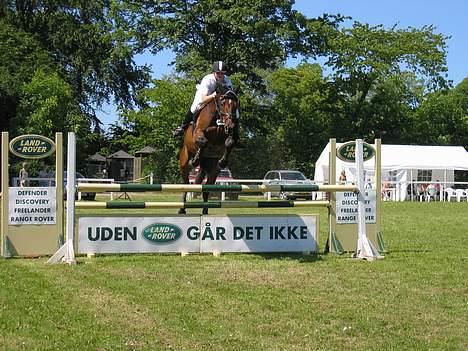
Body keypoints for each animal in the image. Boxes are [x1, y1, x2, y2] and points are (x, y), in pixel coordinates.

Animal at [178, 84, 239, 216]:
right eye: (223, 103)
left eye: (236, 104)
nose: (231, 125)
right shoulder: (199, 133)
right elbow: (203, 142)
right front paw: (196, 159)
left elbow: (230, 142)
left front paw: (223, 162)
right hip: (184, 161)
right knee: (186, 184)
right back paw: (182, 209)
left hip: (213, 170)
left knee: (206, 188)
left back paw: (205, 211)